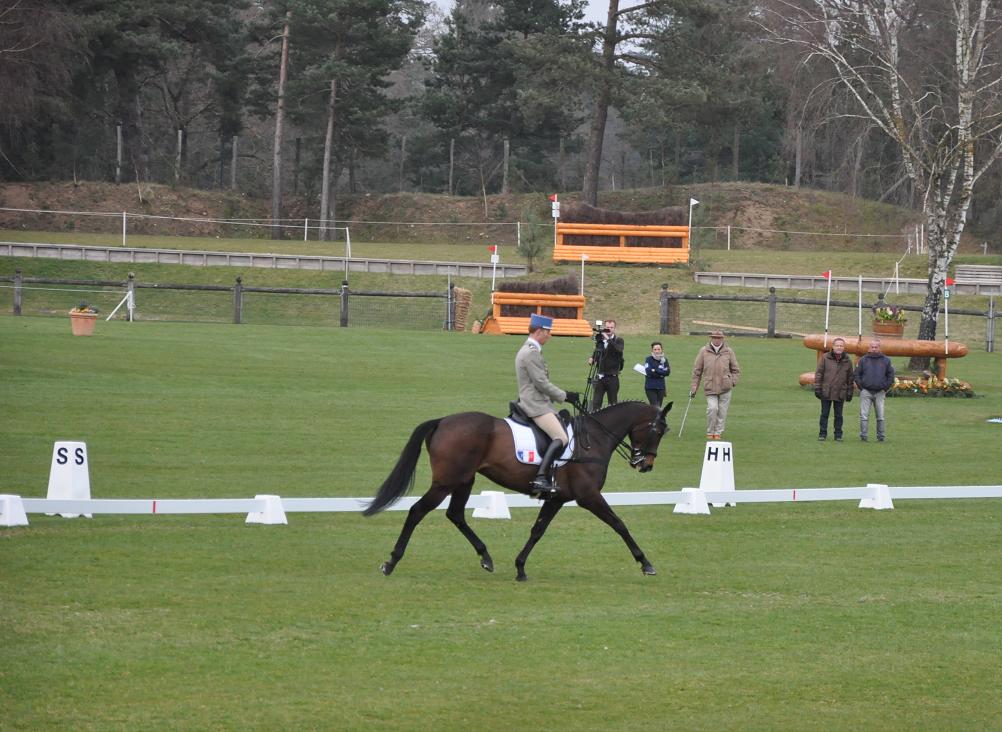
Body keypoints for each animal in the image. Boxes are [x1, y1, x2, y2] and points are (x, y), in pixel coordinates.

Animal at [362, 404, 673, 580]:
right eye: (657, 431)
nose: (645, 465)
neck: (592, 440)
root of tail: (443, 421)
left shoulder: (558, 498)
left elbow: (537, 531)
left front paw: (520, 567)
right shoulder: (588, 496)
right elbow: (619, 524)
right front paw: (645, 563)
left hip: (464, 480)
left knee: (456, 514)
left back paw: (486, 558)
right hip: (446, 482)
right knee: (417, 511)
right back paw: (391, 562)